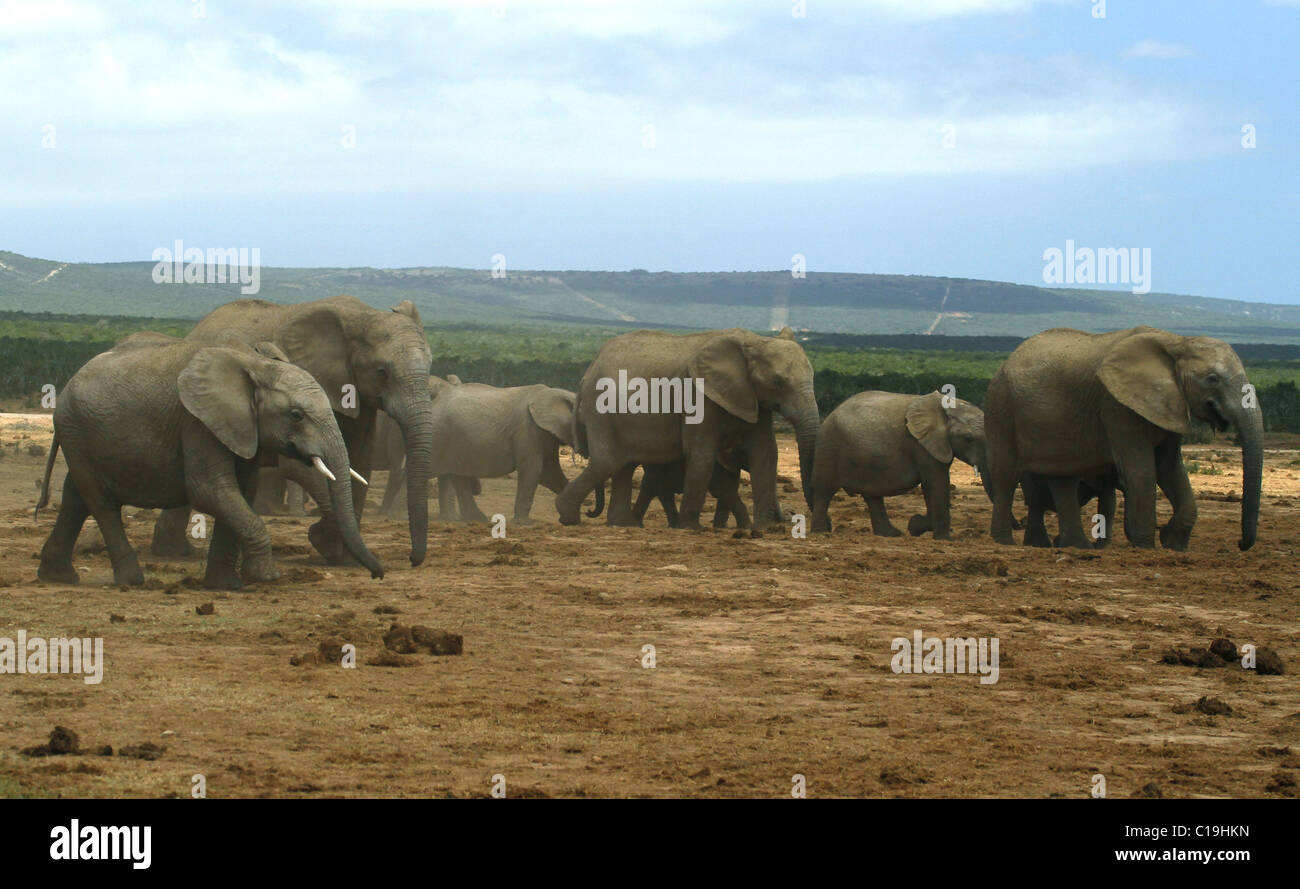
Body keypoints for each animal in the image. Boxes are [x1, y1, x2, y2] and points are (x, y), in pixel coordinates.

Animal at [34, 332, 379, 590]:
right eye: (296, 415)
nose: (378, 574)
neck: (255, 364)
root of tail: (66, 387)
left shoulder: (240, 428)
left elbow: (241, 492)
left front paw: (226, 586)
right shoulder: (197, 421)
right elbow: (211, 491)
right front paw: (266, 577)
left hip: (81, 435)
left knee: (76, 498)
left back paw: (58, 577)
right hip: (76, 428)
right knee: (101, 503)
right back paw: (131, 581)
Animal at [150, 295, 436, 566]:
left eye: (430, 366)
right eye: (382, 372)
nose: (412, 560)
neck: (363, 314)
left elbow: (360, 458)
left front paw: (346, 559)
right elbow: (305, 463)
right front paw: (327, 545)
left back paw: (175, 550)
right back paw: (173, 552)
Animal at [553, 326, 816, 527]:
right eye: (777, 382)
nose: (790, 517)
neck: (752, 340)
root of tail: (587, 372)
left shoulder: (753, 398)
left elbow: (765, 453)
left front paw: (765, 529)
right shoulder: (698, 395)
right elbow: (701, 455)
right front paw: (690, 528)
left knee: (623, 465)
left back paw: (621, 524)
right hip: (602, 411)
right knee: (607, 462)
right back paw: (569, 517)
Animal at [806, 389, 987, 540]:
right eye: (968, 439)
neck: (950, 404)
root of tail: (829, 415)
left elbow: (932, 486)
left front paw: (916, 526)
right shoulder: (920, 444)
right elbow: (936, 484)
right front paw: (942, 538)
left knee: (872, 494)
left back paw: (891, 534)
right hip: (829, 446)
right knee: (824, 490)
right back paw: (821, 533)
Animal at [982, 326, 1258, 548]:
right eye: (1213, 379)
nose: (1240, 543)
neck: (1177, 341)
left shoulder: (1170, 404)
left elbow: (1170, 469)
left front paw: (1173, 543)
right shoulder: (1116, 406)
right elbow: (1142, 470)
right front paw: (1145, 547)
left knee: (1062, 478)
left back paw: (1075, 546)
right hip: (1000, 407)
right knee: (1006, 474)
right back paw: (1005, 542)